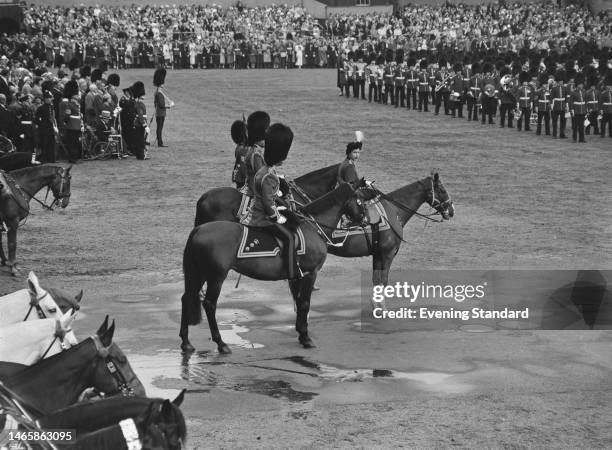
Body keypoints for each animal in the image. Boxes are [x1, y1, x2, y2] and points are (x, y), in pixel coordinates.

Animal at [179, 181, 366, 354]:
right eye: (361, 200)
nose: (365, 222)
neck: (312, 227)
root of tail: (198, 230)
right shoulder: (310, 273)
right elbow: (305, 303)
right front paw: (306, 338)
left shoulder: (297, 275)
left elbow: (298, 302)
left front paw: (301, 333)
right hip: (216, 276)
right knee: (209, 304)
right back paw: (221, 343)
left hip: (199, 273)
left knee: (186, 298)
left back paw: (186, 342)